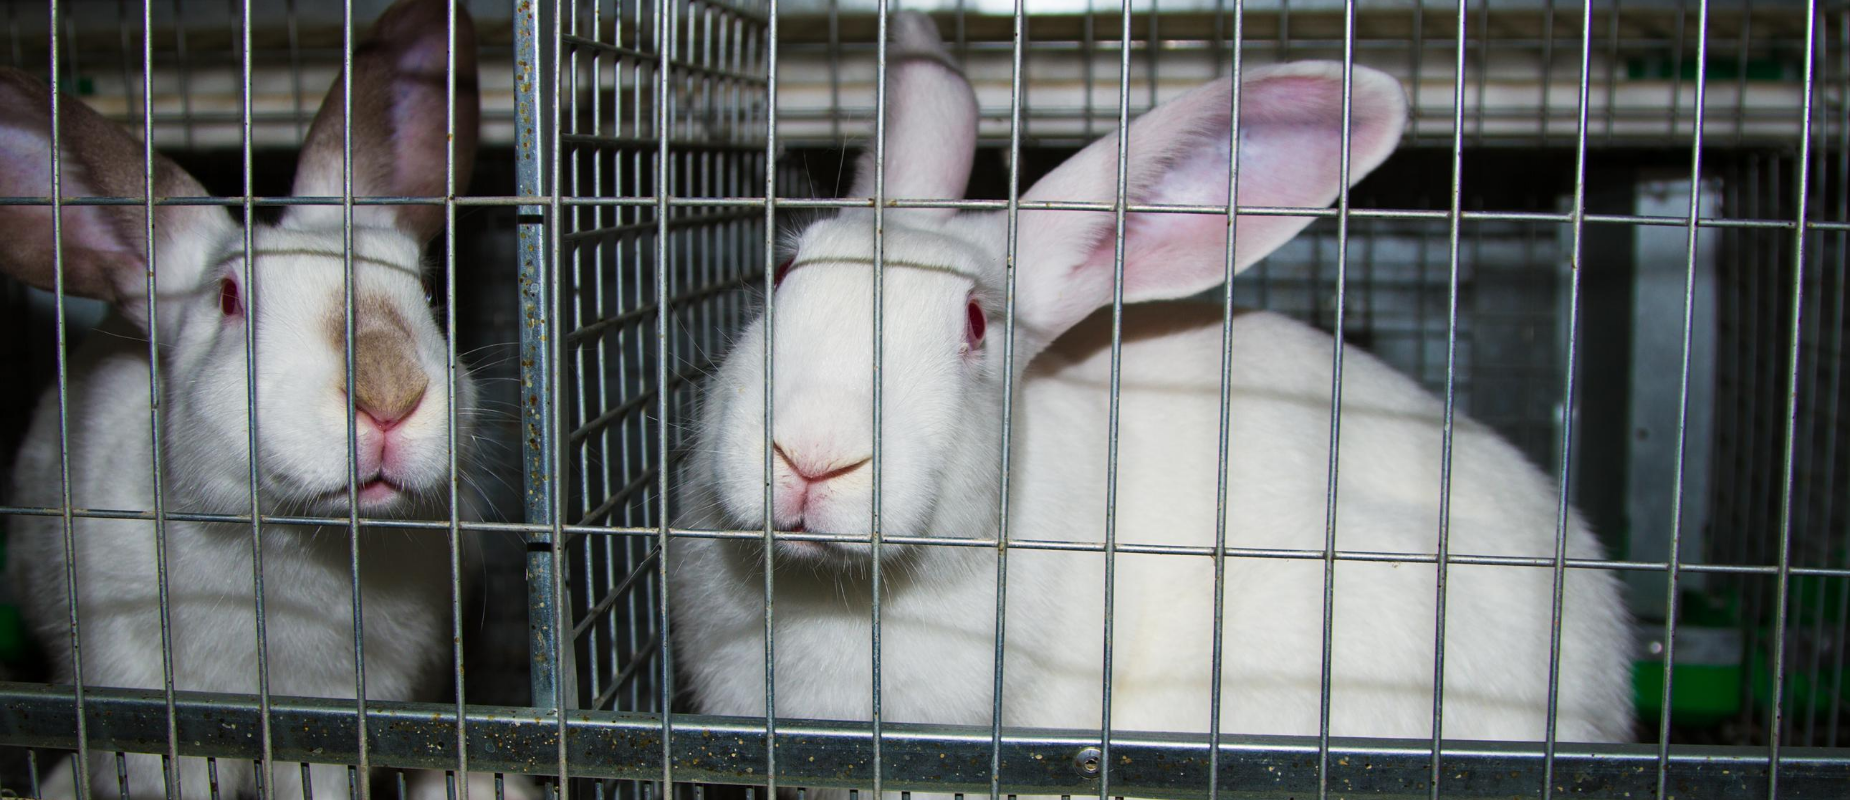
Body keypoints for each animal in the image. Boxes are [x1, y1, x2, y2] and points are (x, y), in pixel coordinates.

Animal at [0, 1, 536, 800]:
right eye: (228, 298)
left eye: (426, 290)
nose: (389, 394)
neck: (296, 551)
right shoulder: (158, 734)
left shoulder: (333, 741)